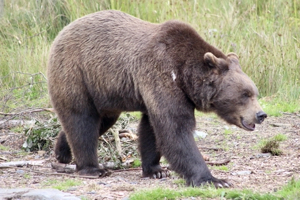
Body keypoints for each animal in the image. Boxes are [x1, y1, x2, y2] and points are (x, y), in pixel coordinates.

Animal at [47, 9, 268, 188]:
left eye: (254, 92)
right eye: (245, 94)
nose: (261, 114)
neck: (185, 76)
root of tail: (61, 33)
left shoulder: (155, 92)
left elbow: (152, 130)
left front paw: (156, 170)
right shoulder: (161, 74)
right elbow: (175, 129)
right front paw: (214, 180)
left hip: (105, 93)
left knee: (101, 121)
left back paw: (62, 152)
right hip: (77, 74)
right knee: (82, 119)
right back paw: (92, 168)